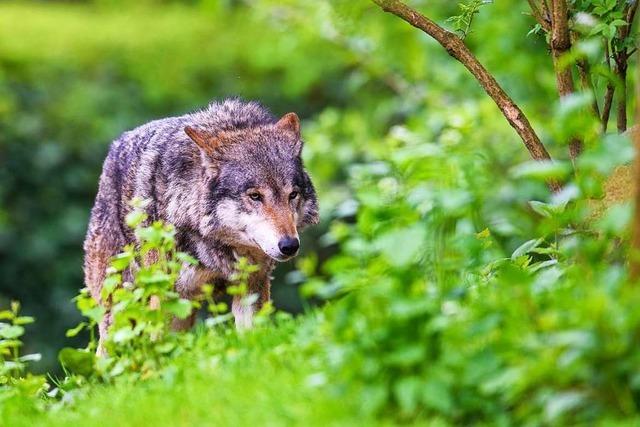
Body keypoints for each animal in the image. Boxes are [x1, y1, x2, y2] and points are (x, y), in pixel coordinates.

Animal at [82, 98, 318, 352]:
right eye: (255, 196)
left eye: (292, 195)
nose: (289, 245)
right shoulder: (165, 298)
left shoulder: (251, 288)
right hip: (120, 313)